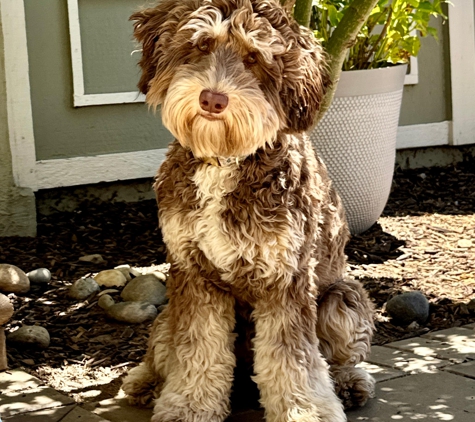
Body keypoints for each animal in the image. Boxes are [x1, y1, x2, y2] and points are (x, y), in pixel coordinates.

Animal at [122, 0, 376, 422]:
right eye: (202, 45)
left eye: (254, 58)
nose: (212, 99)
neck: (225, 159)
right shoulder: (192, 272)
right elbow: (196, 348)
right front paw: (188, 405)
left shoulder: (286, 277)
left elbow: (293, 358)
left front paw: (304, 410)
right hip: (165, 314)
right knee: (163, 346)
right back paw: (146, 381)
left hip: (342, 297)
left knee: (338, 353)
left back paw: (347, 381)